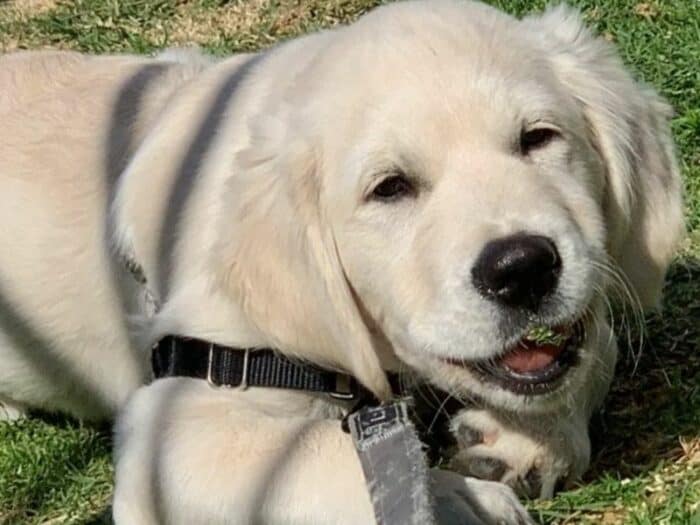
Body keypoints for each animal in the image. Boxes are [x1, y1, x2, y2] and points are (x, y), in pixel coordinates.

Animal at [0, 0, 680, 520]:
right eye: (390, 188)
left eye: (539, 138)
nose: (523, 269)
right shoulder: (179, 420)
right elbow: (324, 462)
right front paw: (458, 499)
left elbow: (593, 344)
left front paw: (524, 440)